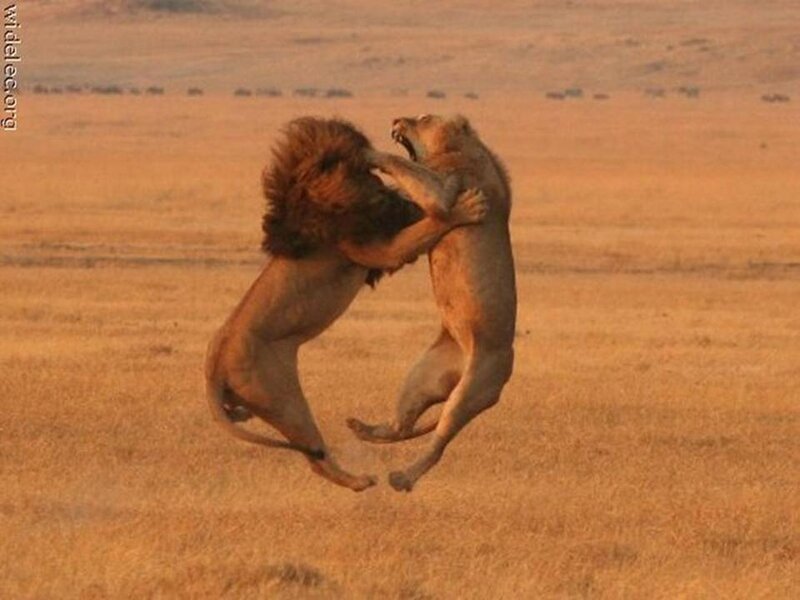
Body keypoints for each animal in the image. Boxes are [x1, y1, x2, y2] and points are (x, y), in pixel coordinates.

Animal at [205, 117, 487, 492]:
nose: (371, 160)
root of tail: (214, 364)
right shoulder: (379, 248)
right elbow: (429, 224)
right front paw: (464, 207)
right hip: (284, 398)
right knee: (316, 457)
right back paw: (360, 481)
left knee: (307, 453)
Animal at [346, 114, 516, 492]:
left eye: (423, 119)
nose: (397, 119)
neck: (460, 147)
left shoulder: (447, 187)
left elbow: (406, 166)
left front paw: (368, 152)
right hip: (423, 375)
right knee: (401, 426)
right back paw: (363, 429)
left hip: (473, 388)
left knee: (438, 443)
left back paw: (402, 478)